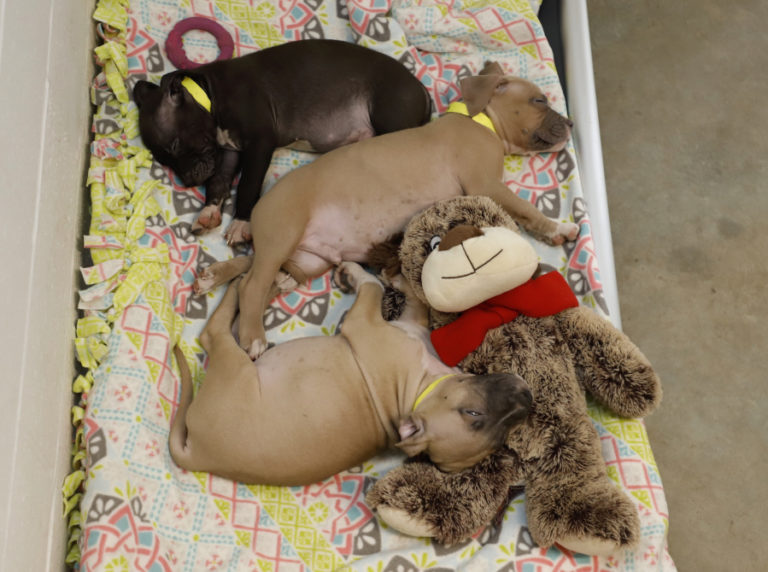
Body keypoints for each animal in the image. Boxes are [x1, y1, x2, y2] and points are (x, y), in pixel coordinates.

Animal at [134, 38, 432, 244]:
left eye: (175, 146)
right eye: (163, 159)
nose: (187, 183)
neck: (210, 94)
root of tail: (422, 89)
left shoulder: (260, 143)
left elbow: (248, 185)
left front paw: (241, 223)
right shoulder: (230, 150)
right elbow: (219, 181)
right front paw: (208, 212)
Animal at [169, 262, 532, 484]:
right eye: (473, 413)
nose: (526, 397)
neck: (418, 392)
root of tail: (198, 456)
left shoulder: (362, 322)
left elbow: (371, 286)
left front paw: (355, 270)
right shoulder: (410, 325)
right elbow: (412, 301)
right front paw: (400, 279)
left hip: (234, 366)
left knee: (215, 331)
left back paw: (245, 285)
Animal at [195, 61, 580, 358]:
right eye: (538, 100)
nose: (572, 124)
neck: (479, 120)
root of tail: (261, 207)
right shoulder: (485, 184)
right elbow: (525, 208)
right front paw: (559, 229)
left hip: (306, 260)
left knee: (256, 274)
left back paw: (215, 277)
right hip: (284, 231)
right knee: (251, 285)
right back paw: (253, 338)